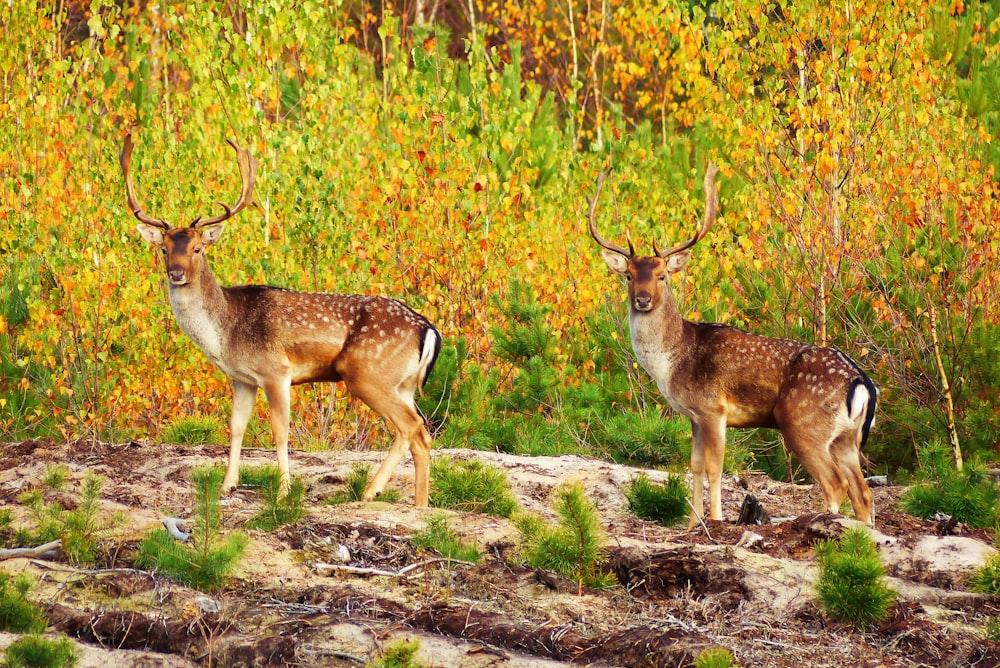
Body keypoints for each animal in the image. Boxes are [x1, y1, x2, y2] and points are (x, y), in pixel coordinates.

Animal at [121, 132, 442, 506]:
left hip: (367, 372)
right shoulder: (242, 379)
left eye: (198, 249)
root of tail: (427, 328)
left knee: (411, 427)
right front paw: (227, 485)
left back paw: (375, 492)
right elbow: (237, 427)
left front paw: (285, 490)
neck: (225, 333)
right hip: (402, 384)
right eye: (164, 249)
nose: (176, 273)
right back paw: (414, 503)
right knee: (420, 433)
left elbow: (280, 432)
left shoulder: (277, 371)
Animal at [588, 164, 880, 528]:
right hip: (847, 438)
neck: (673, 363)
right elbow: (695, 466)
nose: (642, 299)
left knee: (836, 484)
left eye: (662, 276)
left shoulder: (714, 408)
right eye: (628, 275)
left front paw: (714, 520)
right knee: (862, 492)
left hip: (803, 422)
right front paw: (692, 524)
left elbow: (716, 467)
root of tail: (861, 381)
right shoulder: (694, 415)